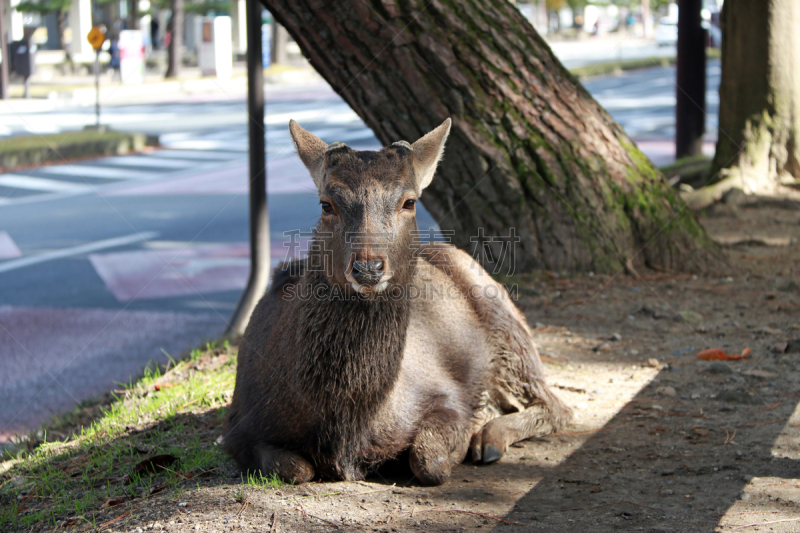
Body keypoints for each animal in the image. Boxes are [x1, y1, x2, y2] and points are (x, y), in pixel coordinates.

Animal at [223, 118, 576, 484]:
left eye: (409, 202)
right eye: (326, 204)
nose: (368, 266)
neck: (347, 425)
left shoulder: (446, 393)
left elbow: (429, 460)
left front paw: (472, 427)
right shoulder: (239, 424)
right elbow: (297, 468)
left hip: (509, 327)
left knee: (557, 405)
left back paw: (489, 438)